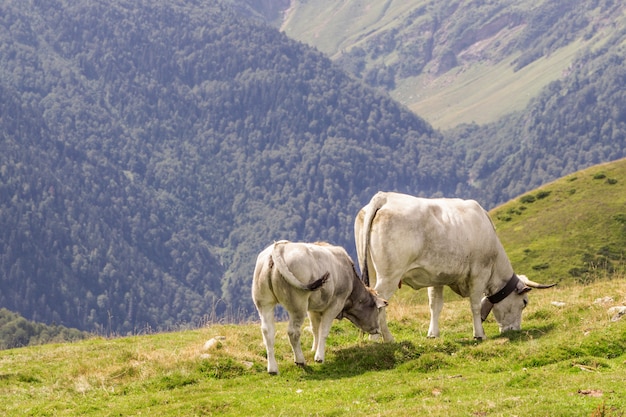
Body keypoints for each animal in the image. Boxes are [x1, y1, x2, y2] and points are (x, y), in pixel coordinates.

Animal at [251, 240, 382, 374]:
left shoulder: (313, 309)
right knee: (293, 332)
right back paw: (300, 360)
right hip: (298, 306)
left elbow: (315, 329)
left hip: (264, 303)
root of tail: (280, 246)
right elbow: (323, 330)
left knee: (268, 332)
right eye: (377, 310)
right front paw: (319, 357)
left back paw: (272, 368)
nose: (378, 329)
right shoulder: (335, 304)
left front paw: (314, 349)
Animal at [354, 192, 552, 342]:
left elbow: (435, 305)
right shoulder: (479, 273)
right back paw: (384, 340)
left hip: (373, 271)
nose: (515, 330)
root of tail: (384, 197)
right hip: (390, 275)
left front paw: (433, 334)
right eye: (524, 302)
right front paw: (479, 335)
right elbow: (475, 305)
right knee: (379, 302)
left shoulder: (436, 277)